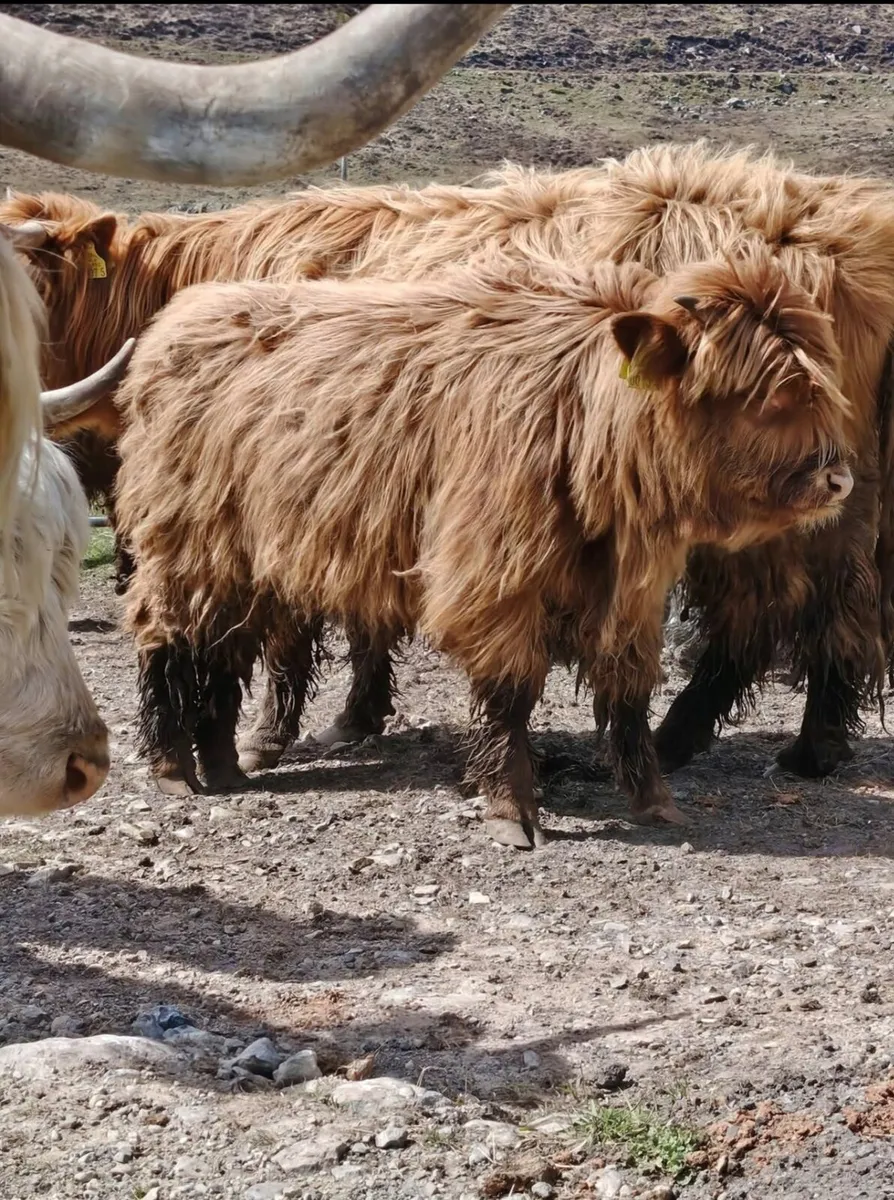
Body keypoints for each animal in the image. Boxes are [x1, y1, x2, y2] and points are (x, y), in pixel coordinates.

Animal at [6, 139, 894, 786]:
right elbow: (362, 611)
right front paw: (354, 715)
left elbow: (296, 624)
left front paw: (273, 734)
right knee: (822, 610)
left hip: (787, 506)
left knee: (785, 615)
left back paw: (752, 747)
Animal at [112, 246, 854, 849]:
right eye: (764, 395)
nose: (838, 478)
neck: (584, 416)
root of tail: (178, 316)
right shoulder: (495, 576)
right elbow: (510, 693)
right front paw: (511, 811)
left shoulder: (631, 591)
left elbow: (627, 694)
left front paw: (653, 801)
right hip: (182, 546)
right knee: (165, 639)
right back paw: (173, 768)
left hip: (243, 561)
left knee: (225, 651)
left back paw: (223, 765)